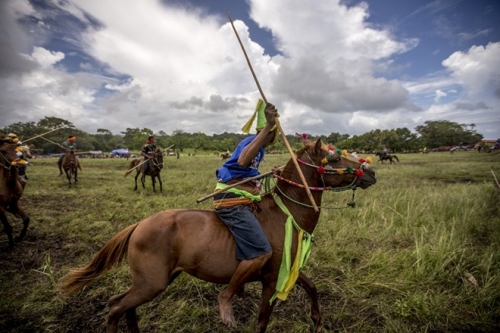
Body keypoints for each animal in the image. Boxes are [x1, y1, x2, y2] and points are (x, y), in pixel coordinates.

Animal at [58, 139, 376, 332]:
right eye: (333, 157)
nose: (371, 172)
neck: (287, 213)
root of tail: (138, 225)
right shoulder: (271, 279)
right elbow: (262, 321)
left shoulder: (287, 270)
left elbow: (311, 287)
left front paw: (317, 320)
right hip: (152, 282)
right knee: (115, 307)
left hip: (155, 280)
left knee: (123, 305)